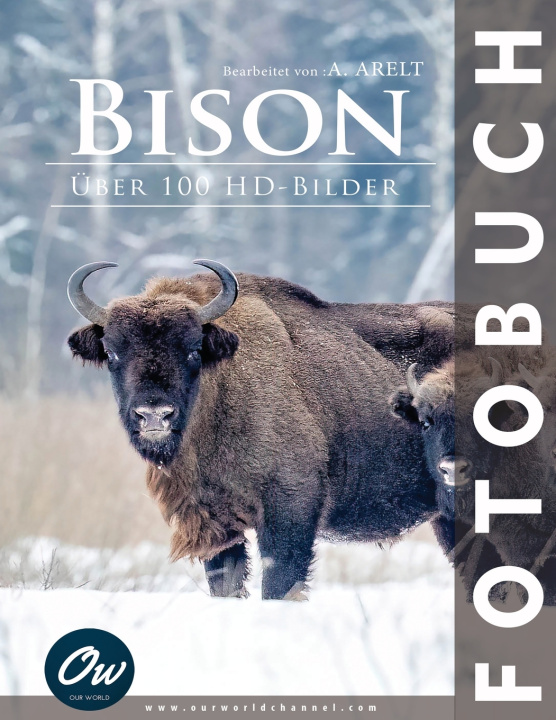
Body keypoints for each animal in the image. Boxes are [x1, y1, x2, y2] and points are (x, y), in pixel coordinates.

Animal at [67, 259, 454, 600]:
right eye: (112, 352)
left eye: (194, 349)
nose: (154, 415)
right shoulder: (216, 522)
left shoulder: (289, 508)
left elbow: (278, 585)